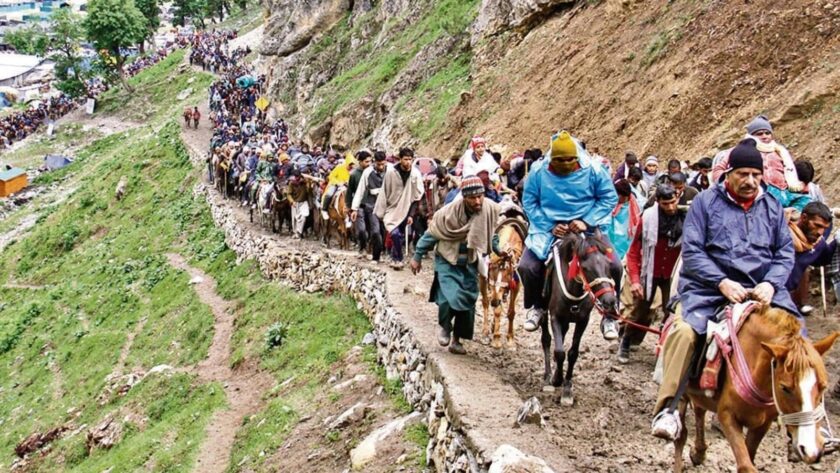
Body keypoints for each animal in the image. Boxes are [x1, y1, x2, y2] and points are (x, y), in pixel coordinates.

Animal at [480, 216, 524, 348]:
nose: (495, 301)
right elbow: (497, 309)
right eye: (492, 270)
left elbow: (511, 312)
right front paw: (496, 339)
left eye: (508, 273)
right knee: (485, 302)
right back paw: (485, 333)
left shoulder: (516, 285)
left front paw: (510, 339)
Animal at [676, 306, 840, 472]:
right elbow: (745, 465)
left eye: (823, 386)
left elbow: (750, 455)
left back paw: (699, 453)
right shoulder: (727, 415)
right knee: (682, 431)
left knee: (699, 409)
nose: (811, 451)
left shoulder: (763, 424)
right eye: (784, 388)